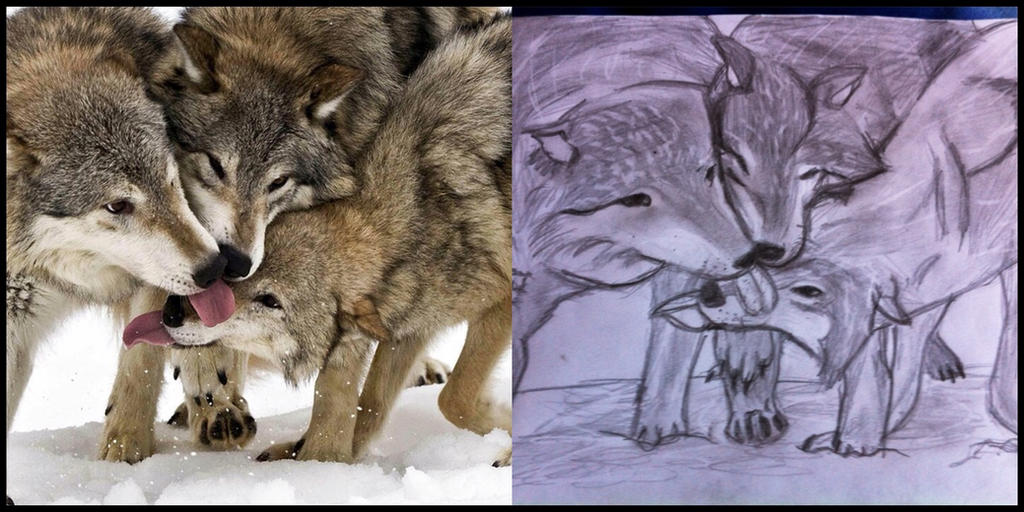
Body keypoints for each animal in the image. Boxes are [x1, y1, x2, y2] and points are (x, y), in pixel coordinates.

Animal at [6, 6, 232, 473]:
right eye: (117, 206)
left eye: (169, 180)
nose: (213, 268)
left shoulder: (154, 285)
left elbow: (139, 368)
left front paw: (126, 452)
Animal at [128, 13, 513, 465]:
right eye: (215, 166)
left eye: (271, 301)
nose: (172, 313)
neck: (417, 218)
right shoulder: (408, 325)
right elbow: (368, 407)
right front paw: (319, 459)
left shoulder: (501, 302)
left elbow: (452, 398)